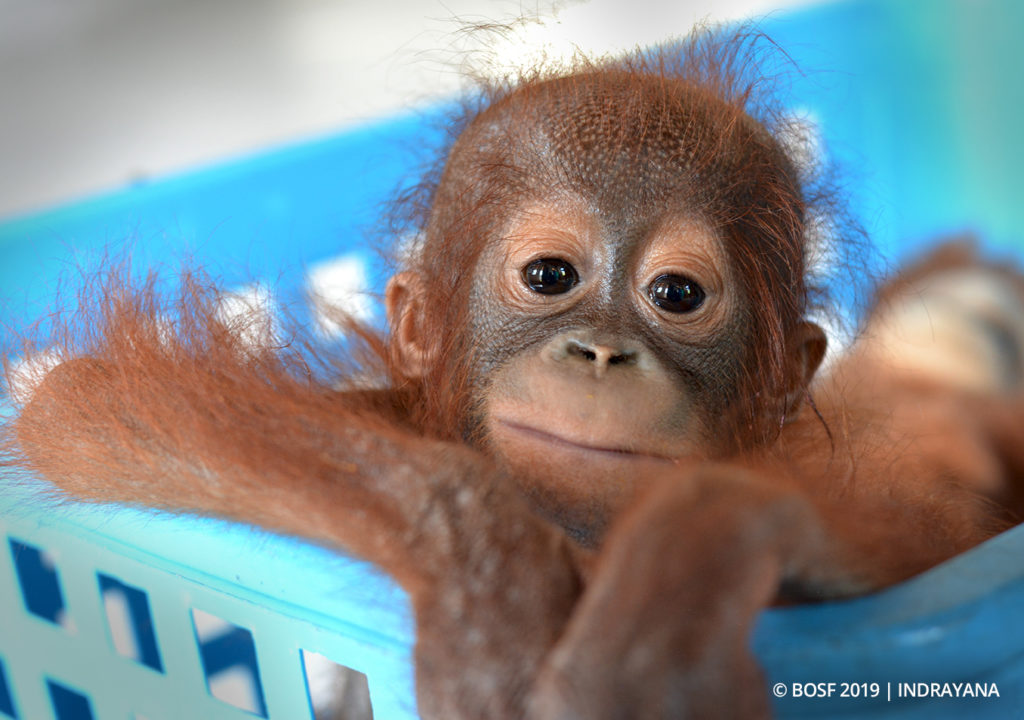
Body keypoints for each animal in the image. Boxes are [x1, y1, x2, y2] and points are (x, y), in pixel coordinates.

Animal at [5, 29, 1024, 719]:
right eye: (549, 277)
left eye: (677, 294)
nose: (602, 352)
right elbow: (75, 403)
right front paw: (484, 601)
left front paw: (662, 616)